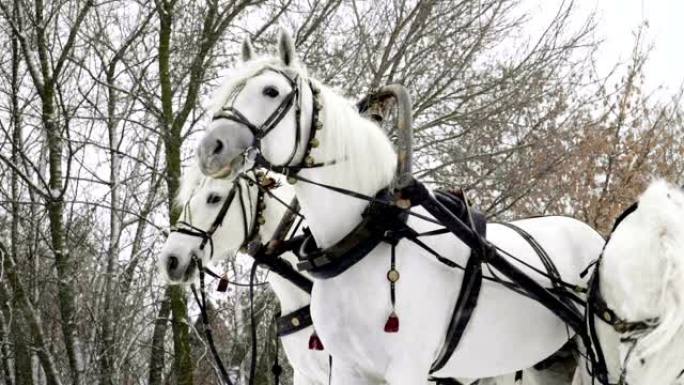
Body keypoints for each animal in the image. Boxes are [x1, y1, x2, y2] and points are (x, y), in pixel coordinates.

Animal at [194, 31, 604, 382]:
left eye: (270, 90)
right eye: (226, 91)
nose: (210, 150)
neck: (372, 231)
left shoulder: (407, 368)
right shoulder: (347, 368)